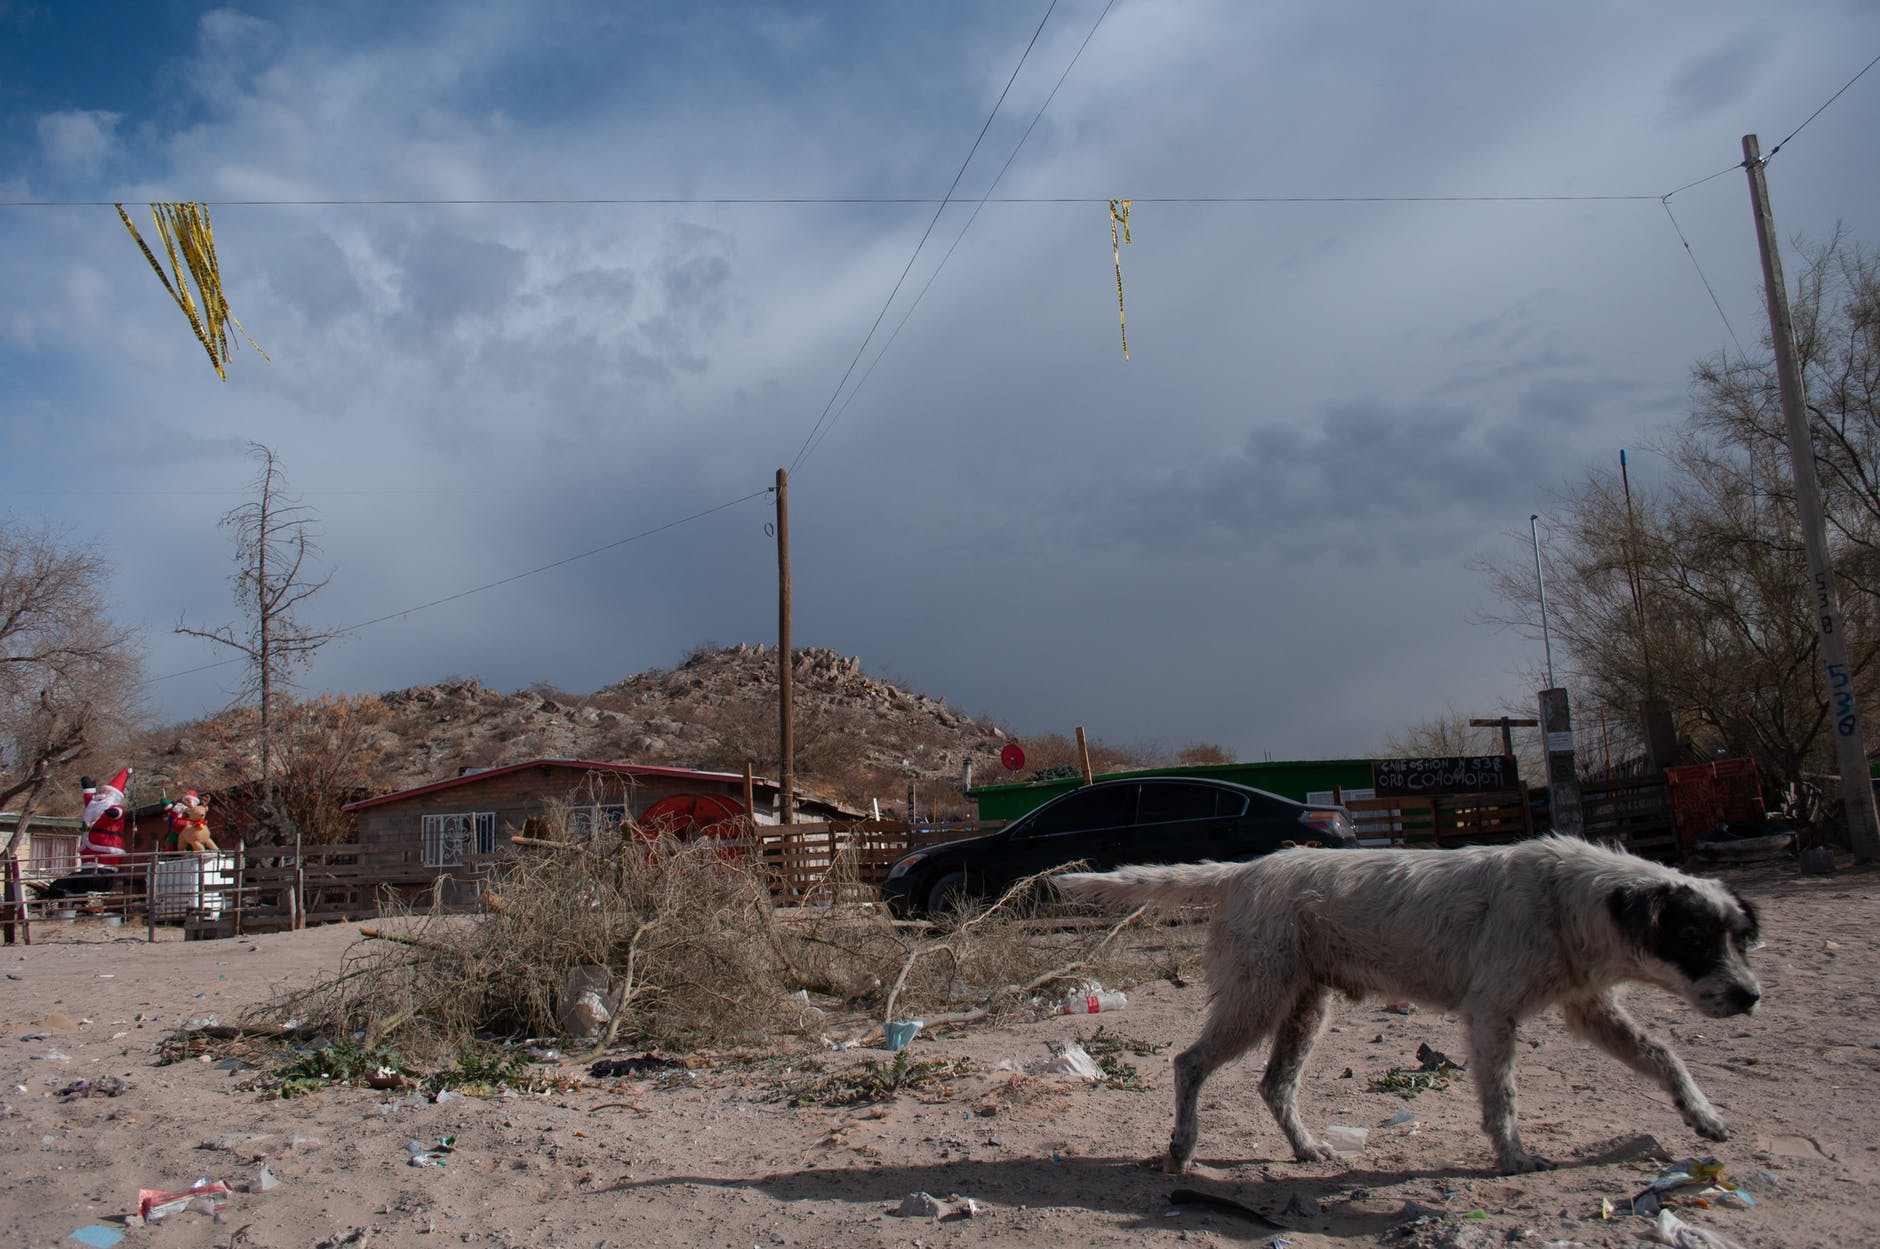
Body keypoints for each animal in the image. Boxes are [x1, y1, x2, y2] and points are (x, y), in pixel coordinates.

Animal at [1060, 835, 1759, 1173]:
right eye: (1696, 939)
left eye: (1740, 938)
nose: (1751, 997)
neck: (1569, 899)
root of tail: (1244, 871)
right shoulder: (1491, 1016)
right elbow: (1502, 1100)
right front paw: (1513, 1158)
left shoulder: (1590, 1009)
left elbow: (1665, 1055)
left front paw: (1702, 1114)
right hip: (1256, 1001)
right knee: (1189, 1064)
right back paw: (1183, 1147)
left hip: (1304, 1009)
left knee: (1274, 1085)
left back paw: (1307, 1149)